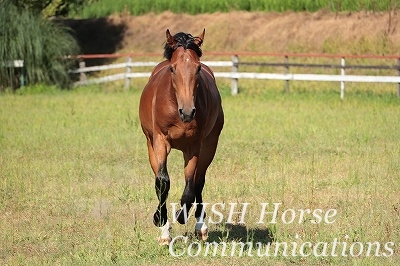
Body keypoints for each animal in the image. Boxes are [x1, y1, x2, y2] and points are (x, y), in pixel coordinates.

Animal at [139, 29, 223, 245]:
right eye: (172, 69)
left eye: (198, 68)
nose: (187, 112)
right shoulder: (160, 141)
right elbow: (162, 182)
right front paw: (160, 222)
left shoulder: (193, 147)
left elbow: (189, 188)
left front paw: (181, 216)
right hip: (150, 144)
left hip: (210, 145)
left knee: (199, 181)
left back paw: (201, 227)